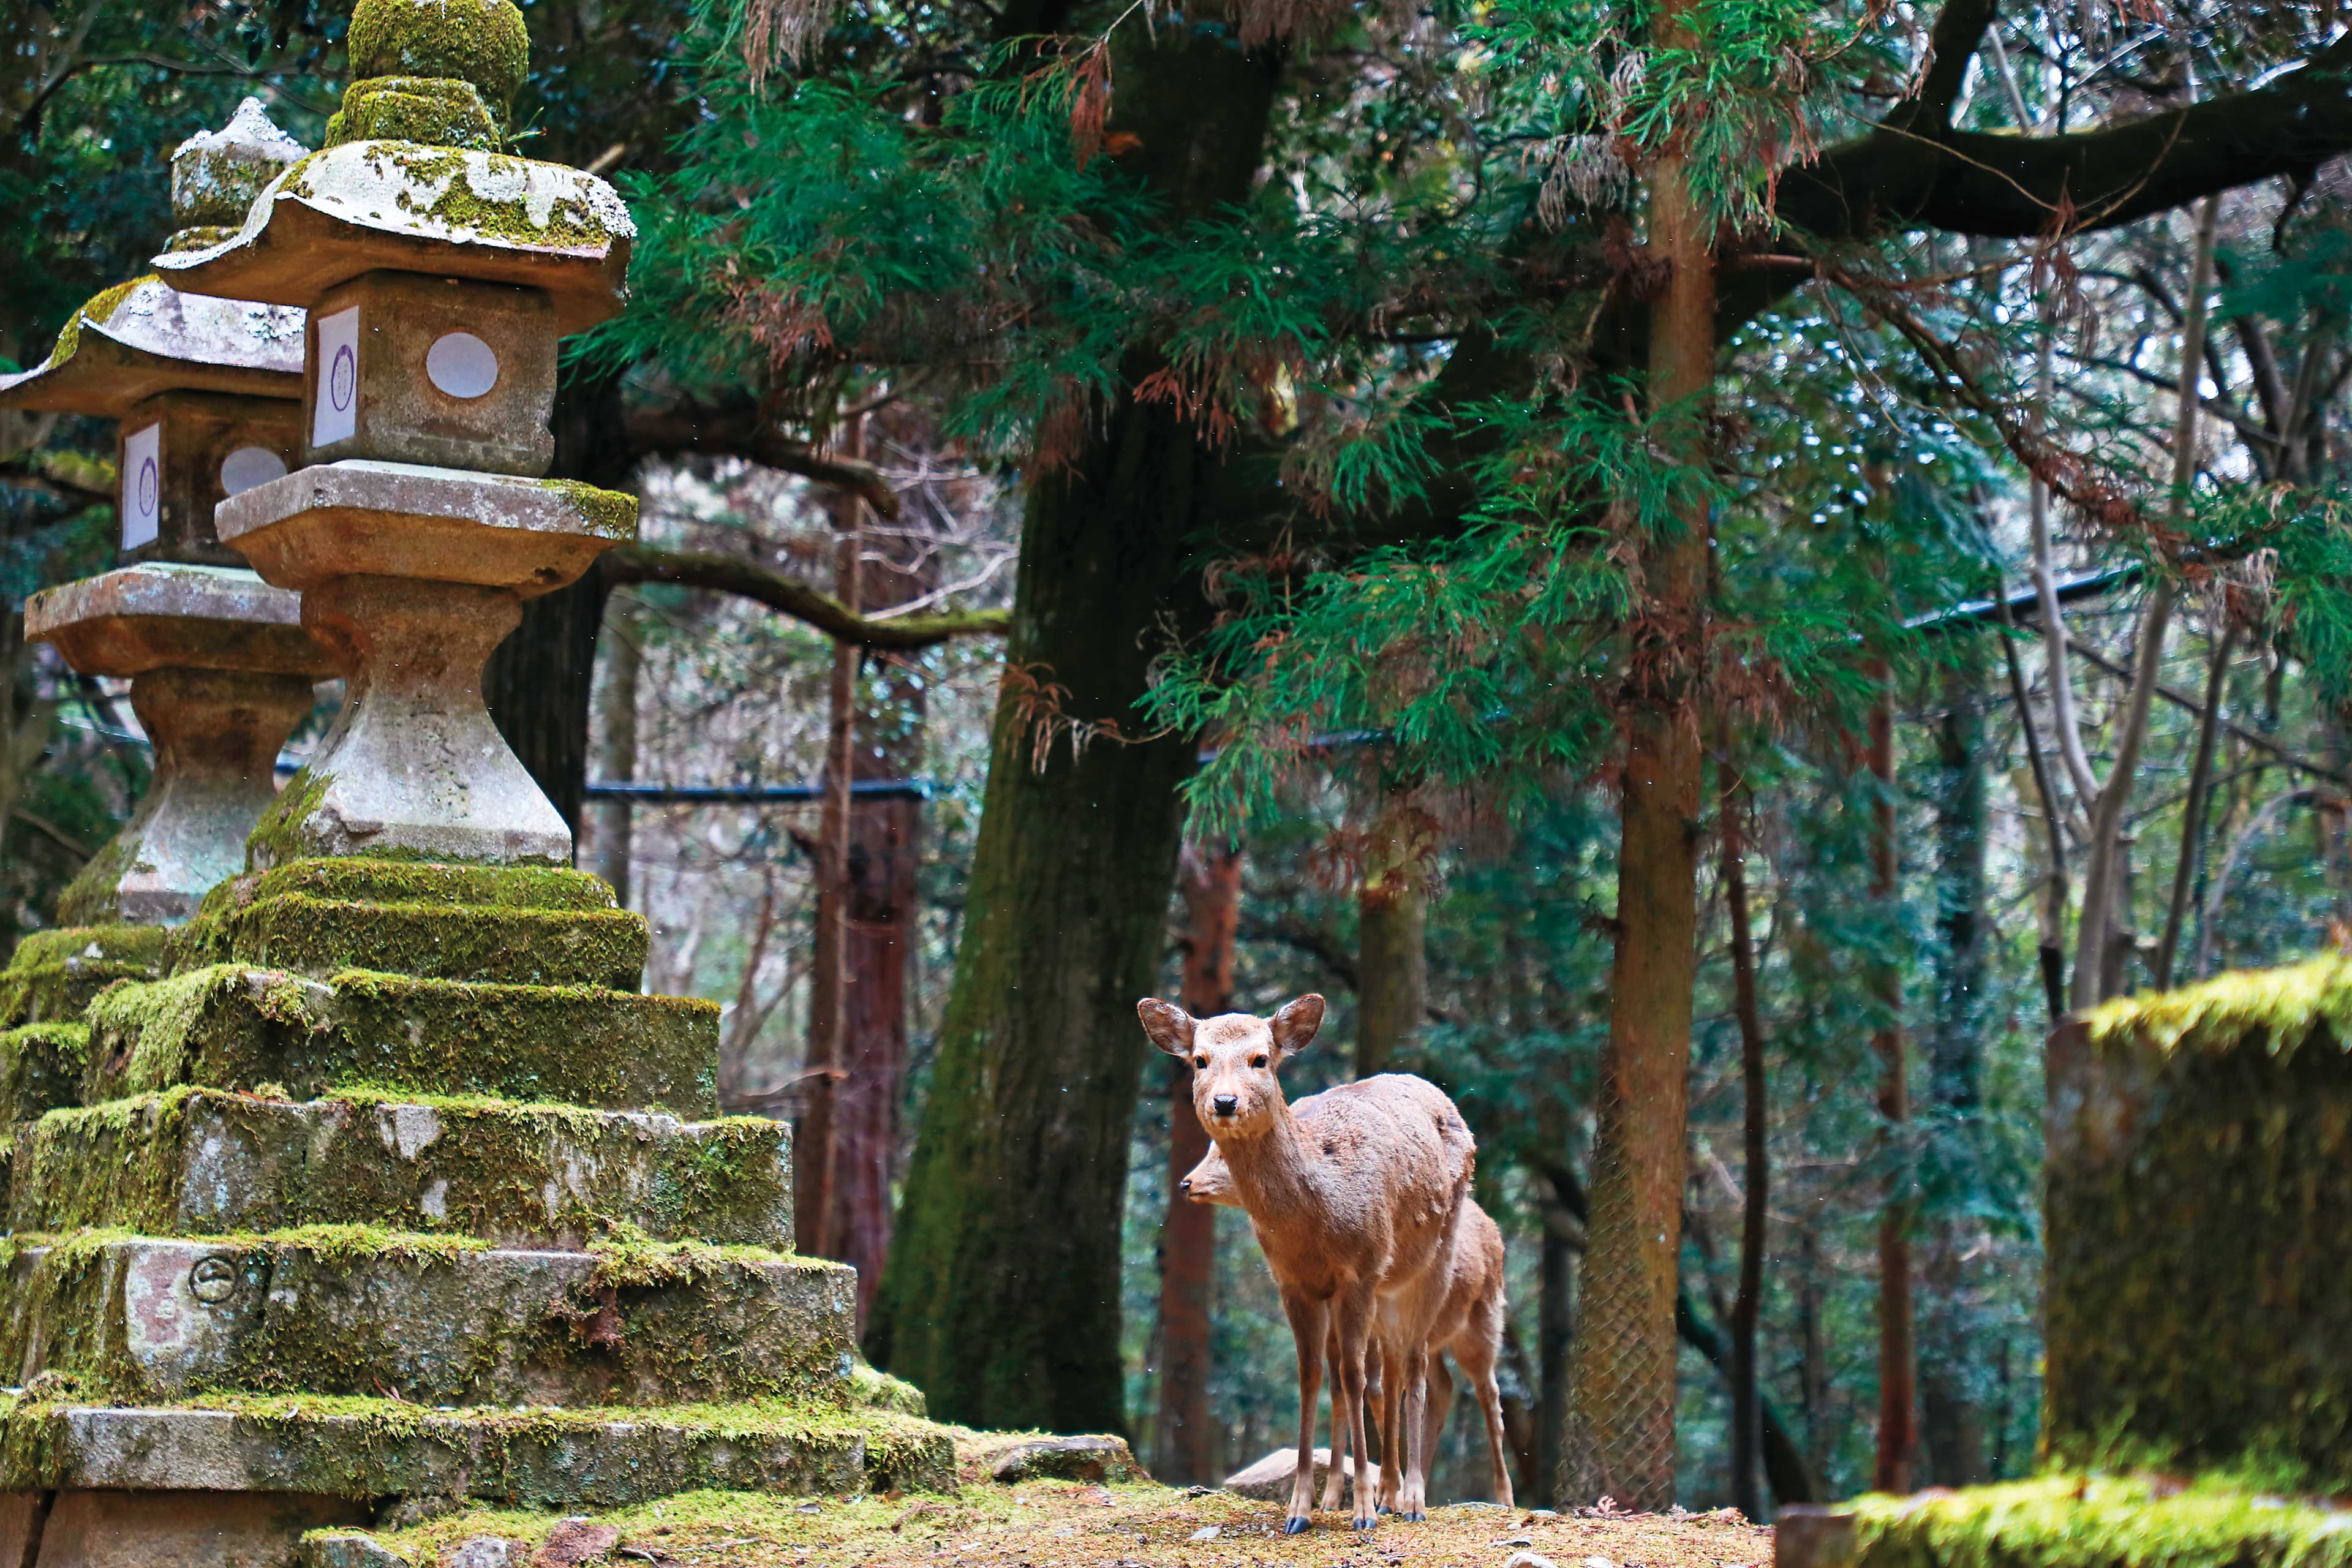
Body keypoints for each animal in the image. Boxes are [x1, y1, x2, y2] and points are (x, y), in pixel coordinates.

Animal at [1139, 993, 1473, 1533]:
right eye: (1200, 1060)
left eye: (1261, 1059)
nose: (1225, 1102)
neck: (1316, 1222)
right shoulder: (1292, 1281)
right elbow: (1311, 1375)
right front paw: (1300, 1509)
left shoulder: (1359, 1270)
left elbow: (1353, 1376)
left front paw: (1362, 1511)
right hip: (1389, 1284)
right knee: (1392, 1369)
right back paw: (1389, 1492)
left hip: (1437, 1254)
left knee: (1416, 1364)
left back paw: (1411, 1499)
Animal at [1182, 1140, 1515, 1512]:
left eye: (1222, 1156)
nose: (1187, 1183)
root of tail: (1496, 1232)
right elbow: (1344, 1387)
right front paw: (1335, 1497)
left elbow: (1375, 1388)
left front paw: (1383, 1492)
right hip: (1438, 1339)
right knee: (1443, 1385)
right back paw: (1422, 1486)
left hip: (1482, 1323)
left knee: (1490, 1394)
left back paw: (1504, 1497)